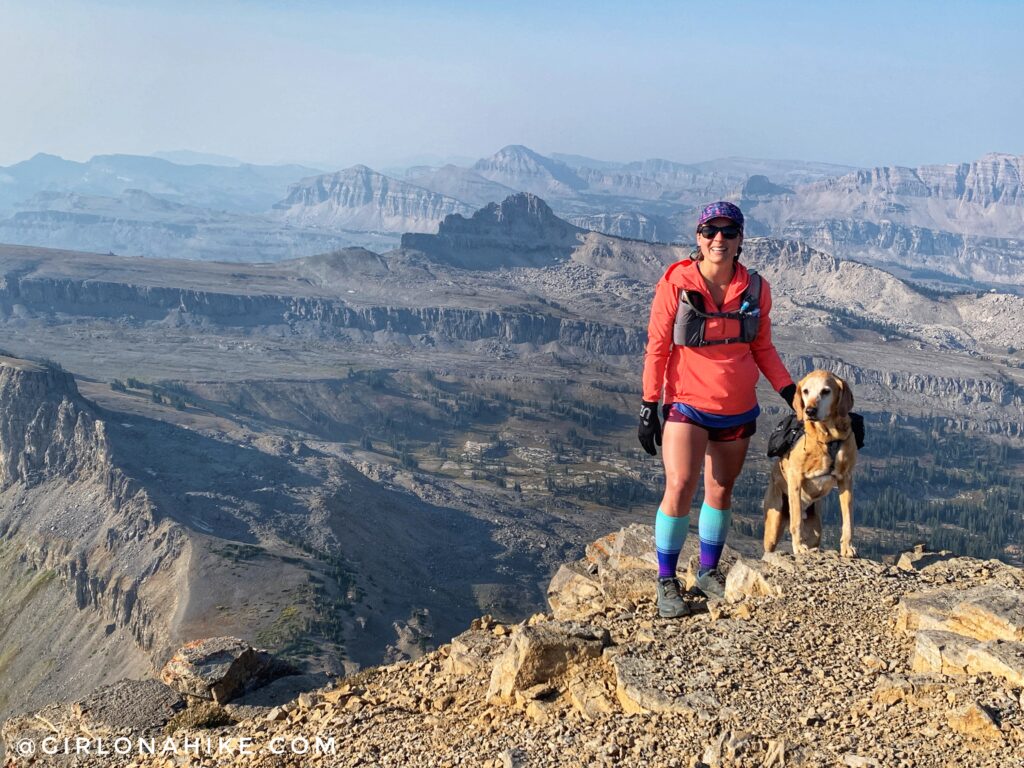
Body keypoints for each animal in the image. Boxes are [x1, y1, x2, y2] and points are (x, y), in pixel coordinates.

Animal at [770, 370, 856, 557]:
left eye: (826, 391)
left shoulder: (846, 479)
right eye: (806, 391)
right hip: (774, 522)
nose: (809, 410)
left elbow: (848, 520)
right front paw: (798, 546)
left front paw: (847, 546)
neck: (827, 437)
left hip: (816, 528)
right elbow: (796, 521)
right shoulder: (795, 478)